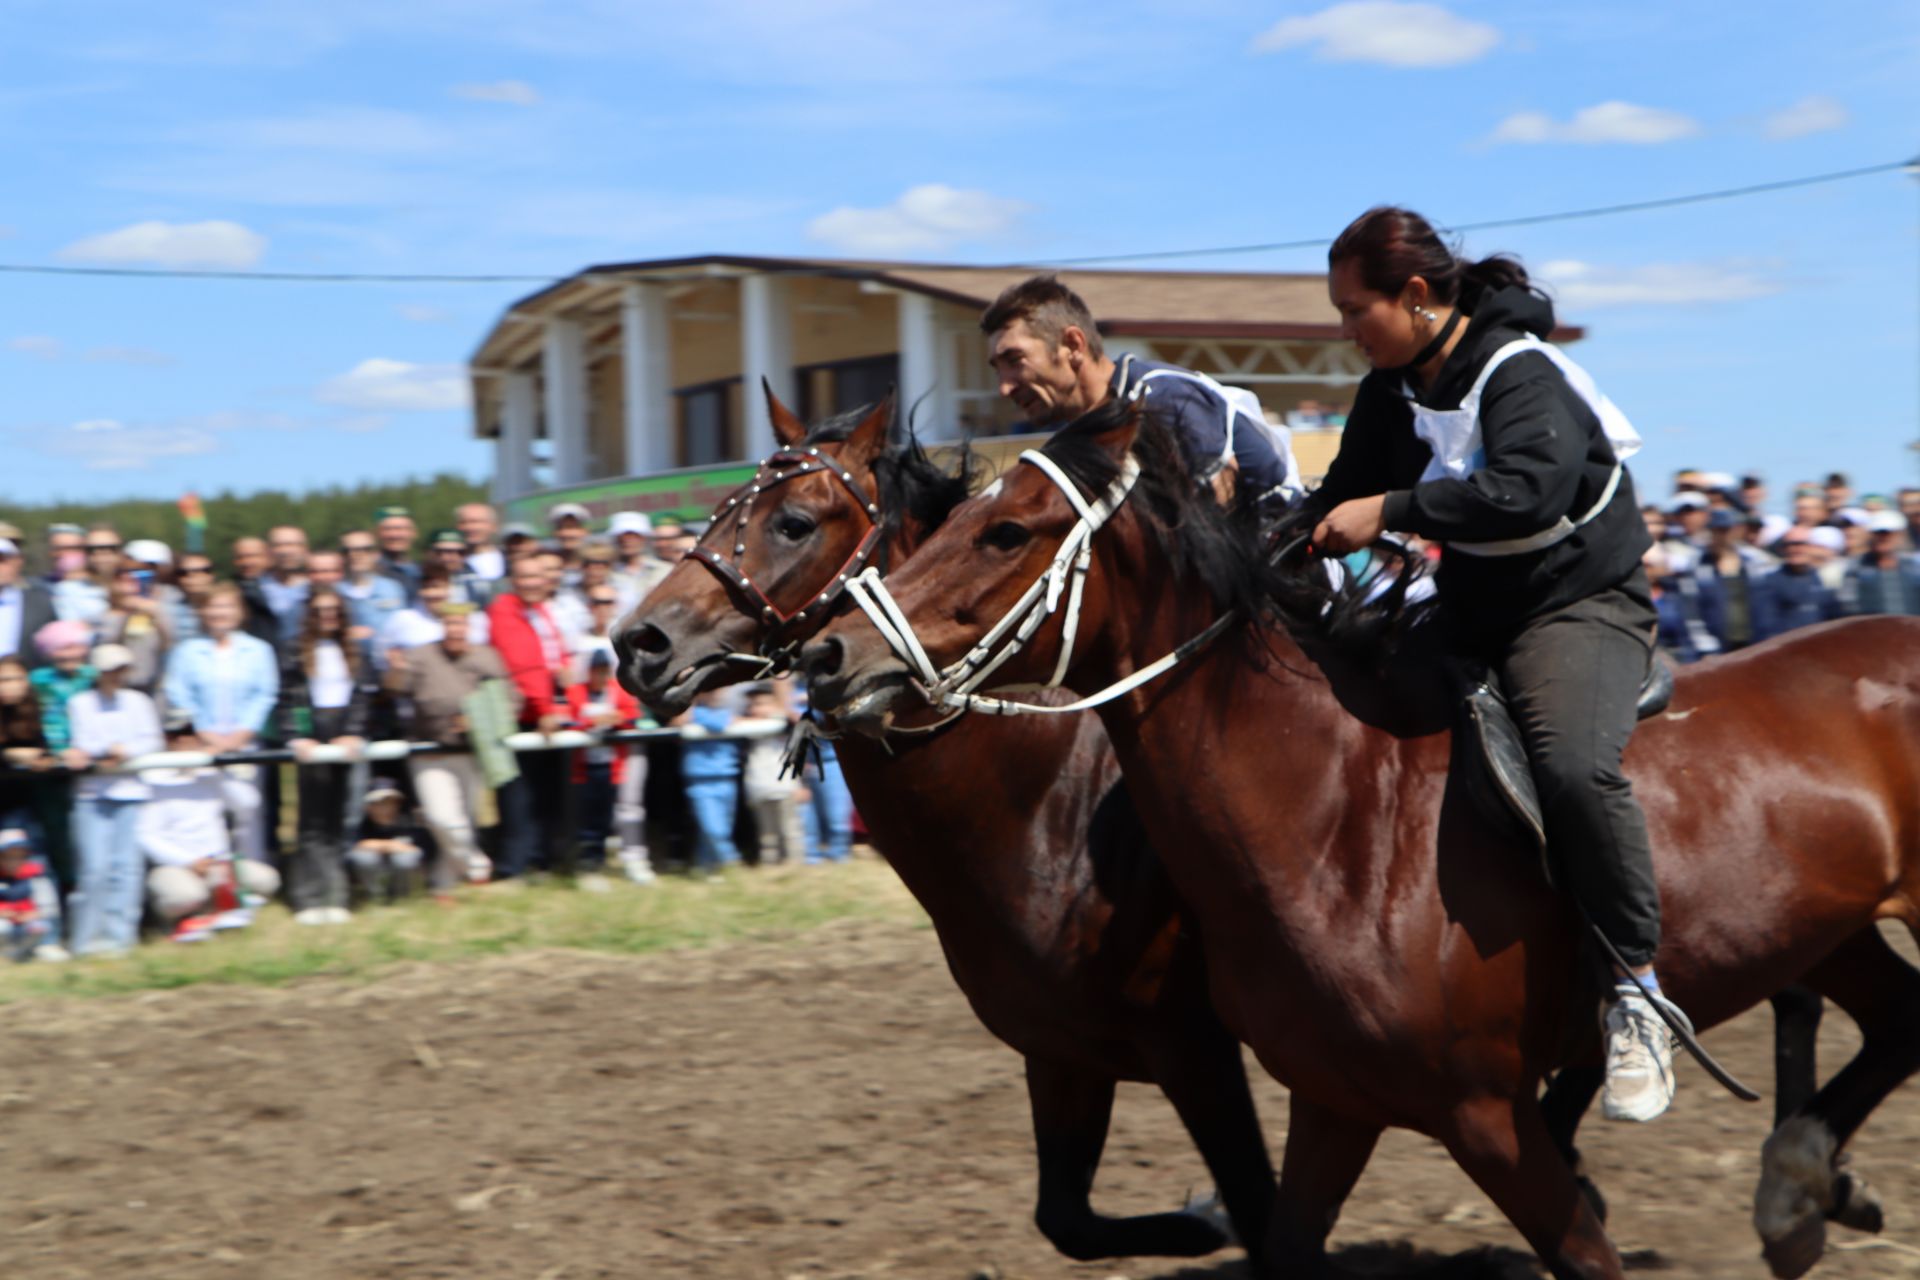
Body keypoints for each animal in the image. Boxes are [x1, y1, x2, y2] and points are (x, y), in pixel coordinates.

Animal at [610, 395, 1274, 1266]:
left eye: (793, 522)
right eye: (721, 511)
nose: (639, 643)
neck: (1049, 810)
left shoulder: (1194, 1048)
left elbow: (1259, 1205)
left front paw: (1217, 1213)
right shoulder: (1060, 1051)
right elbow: (1068, 1220)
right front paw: (1202, 1217)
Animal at [798, 401, 1920, 1280]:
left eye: (1007, 532)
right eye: (953, 520)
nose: (831, 654)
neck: (1340, 818)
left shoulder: (1480, 1113)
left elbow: (1581, 1244)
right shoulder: (1325, 1103)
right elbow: (1263, 1240)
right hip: (1827, 929)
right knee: (1896, 1018)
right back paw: (1797, 1192)